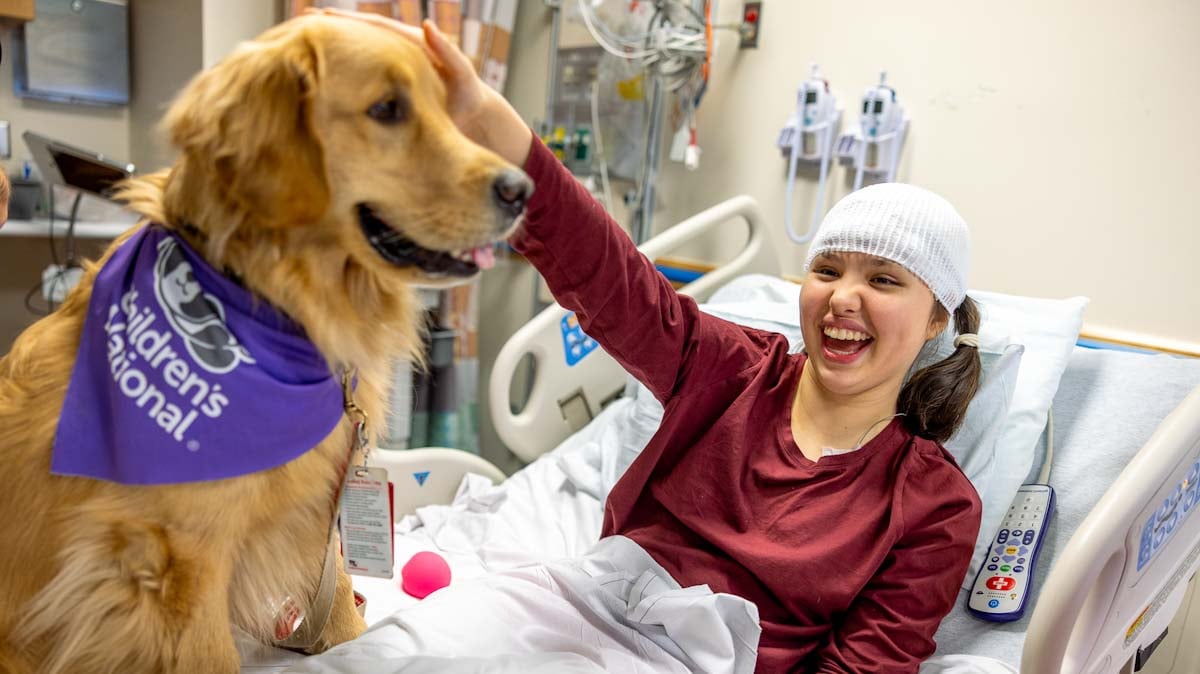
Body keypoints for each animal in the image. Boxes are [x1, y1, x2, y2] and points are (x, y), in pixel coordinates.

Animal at [0, 15, 530, 671]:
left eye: (450, 109)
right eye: (387, 108)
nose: (522, 189)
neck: (268, 299)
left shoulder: (320, 506)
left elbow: (339, 599)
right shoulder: (177, 564)